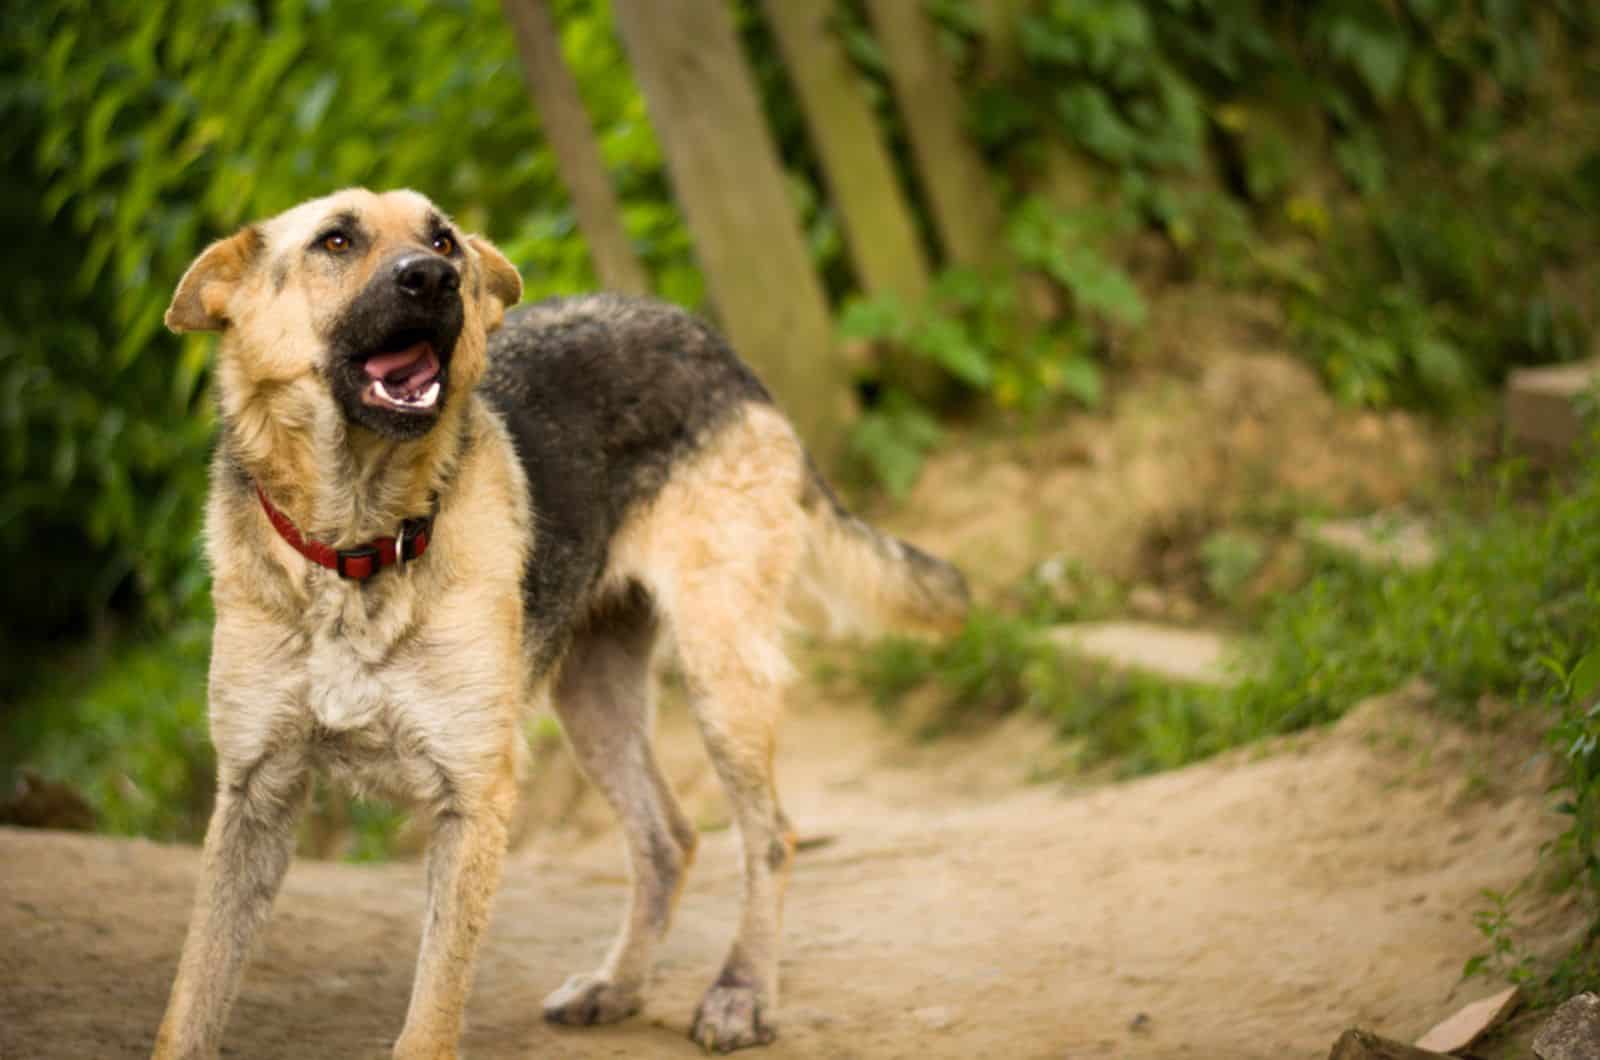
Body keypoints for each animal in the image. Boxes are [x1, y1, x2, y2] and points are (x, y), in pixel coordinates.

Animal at [156, 186, 966, 1056]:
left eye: (443, 240)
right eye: (335, 241)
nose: (434, 279)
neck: (356, 546)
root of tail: (707, 338)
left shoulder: (472, 795)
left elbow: (430, 1016)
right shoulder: (254, 798)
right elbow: (192, 997)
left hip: (720, 670)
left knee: (768, 834)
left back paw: (741, 992)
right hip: (593, 698)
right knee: (667, 839)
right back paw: (619, 985)